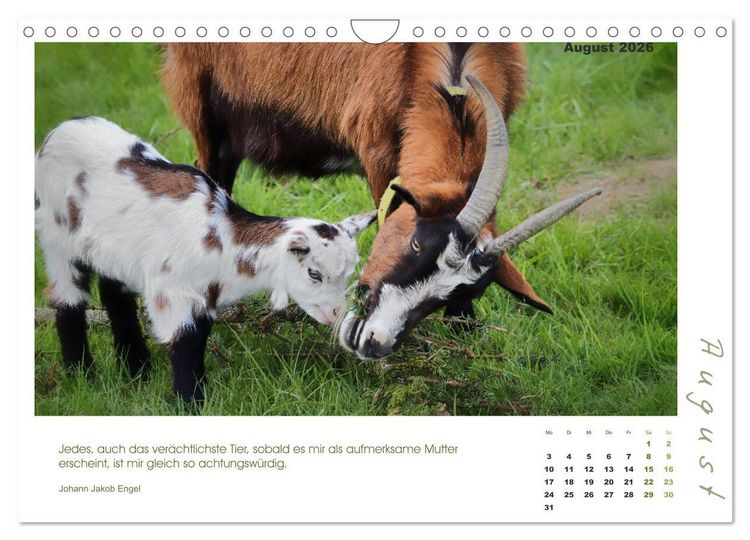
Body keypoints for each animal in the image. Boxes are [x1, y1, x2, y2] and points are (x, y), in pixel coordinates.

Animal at [35, 116, 374, 403]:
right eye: (314, 273)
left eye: (347, 276)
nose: (336, 313)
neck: (221, 237)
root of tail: (59, 130)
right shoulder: (169, 291)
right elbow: (184, 340)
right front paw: (188, 403)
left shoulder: (207, 294)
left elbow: (198, 338)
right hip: (58, 235)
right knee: (67, 298)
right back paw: (82, 374)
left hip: (115, 248)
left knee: (115, 295)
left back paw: (136, 371)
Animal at [162, 43, 598, 359]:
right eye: (418, 243)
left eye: (463, 291)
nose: (376, 342)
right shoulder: (377, 155)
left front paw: (463, 341)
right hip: (205, 109)